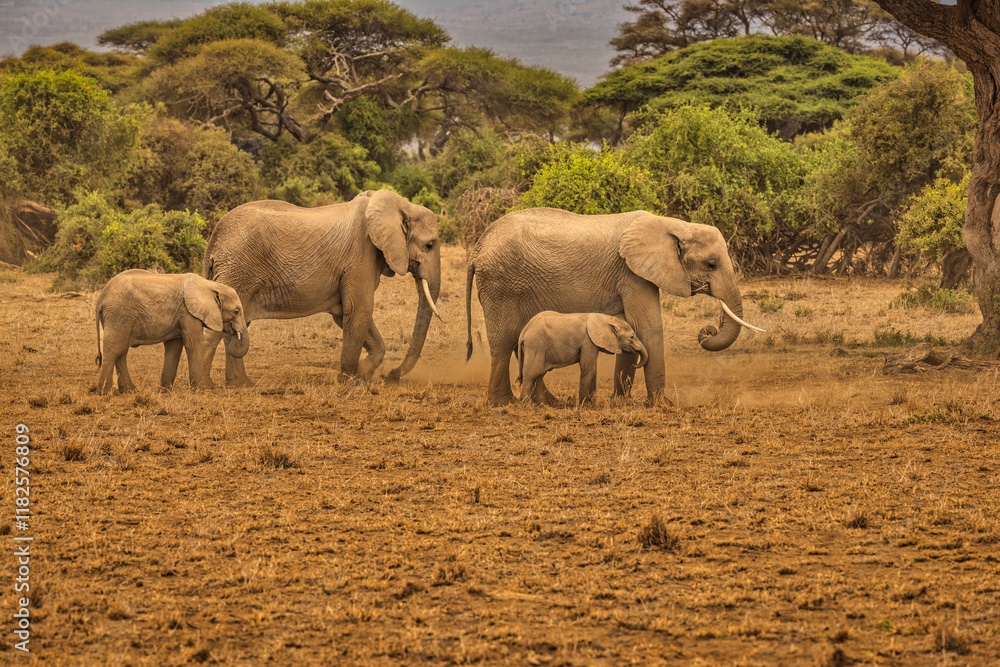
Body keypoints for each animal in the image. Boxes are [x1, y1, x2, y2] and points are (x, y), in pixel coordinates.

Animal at [95, 270, 249, 395]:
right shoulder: (188, 312)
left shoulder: (180, 315)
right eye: (236, 311)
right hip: (118, 313)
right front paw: (198, 391)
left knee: (121, 350)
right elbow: (193, 343)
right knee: (114, 348)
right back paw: (104, 391)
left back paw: (129, 391)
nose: (234, 333)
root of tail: (101, 298)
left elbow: (174, 347)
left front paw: (166, 391)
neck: (211, 285)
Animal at [202, 189, 442, 387]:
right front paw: (352, 382)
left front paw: (364, 373)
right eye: (429, 245)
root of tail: (213, 245)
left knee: (236, 327)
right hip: (237, 269)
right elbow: (358, 310)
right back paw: (205, 385)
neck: (402, 205)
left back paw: (242, 384)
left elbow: (345, 315)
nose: (391, 375)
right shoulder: (361, 253)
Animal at [516, 311, 648, 405]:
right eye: (632, 336)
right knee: (530, 375)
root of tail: (524, 330)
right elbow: (588, 368)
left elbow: (591, 368)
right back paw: (526, 404)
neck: (605, 319)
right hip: (536, 345)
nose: (634, 365)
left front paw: (590, 403)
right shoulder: (588, 340)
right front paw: (584, 404)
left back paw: (542, 405)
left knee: (539, 375)